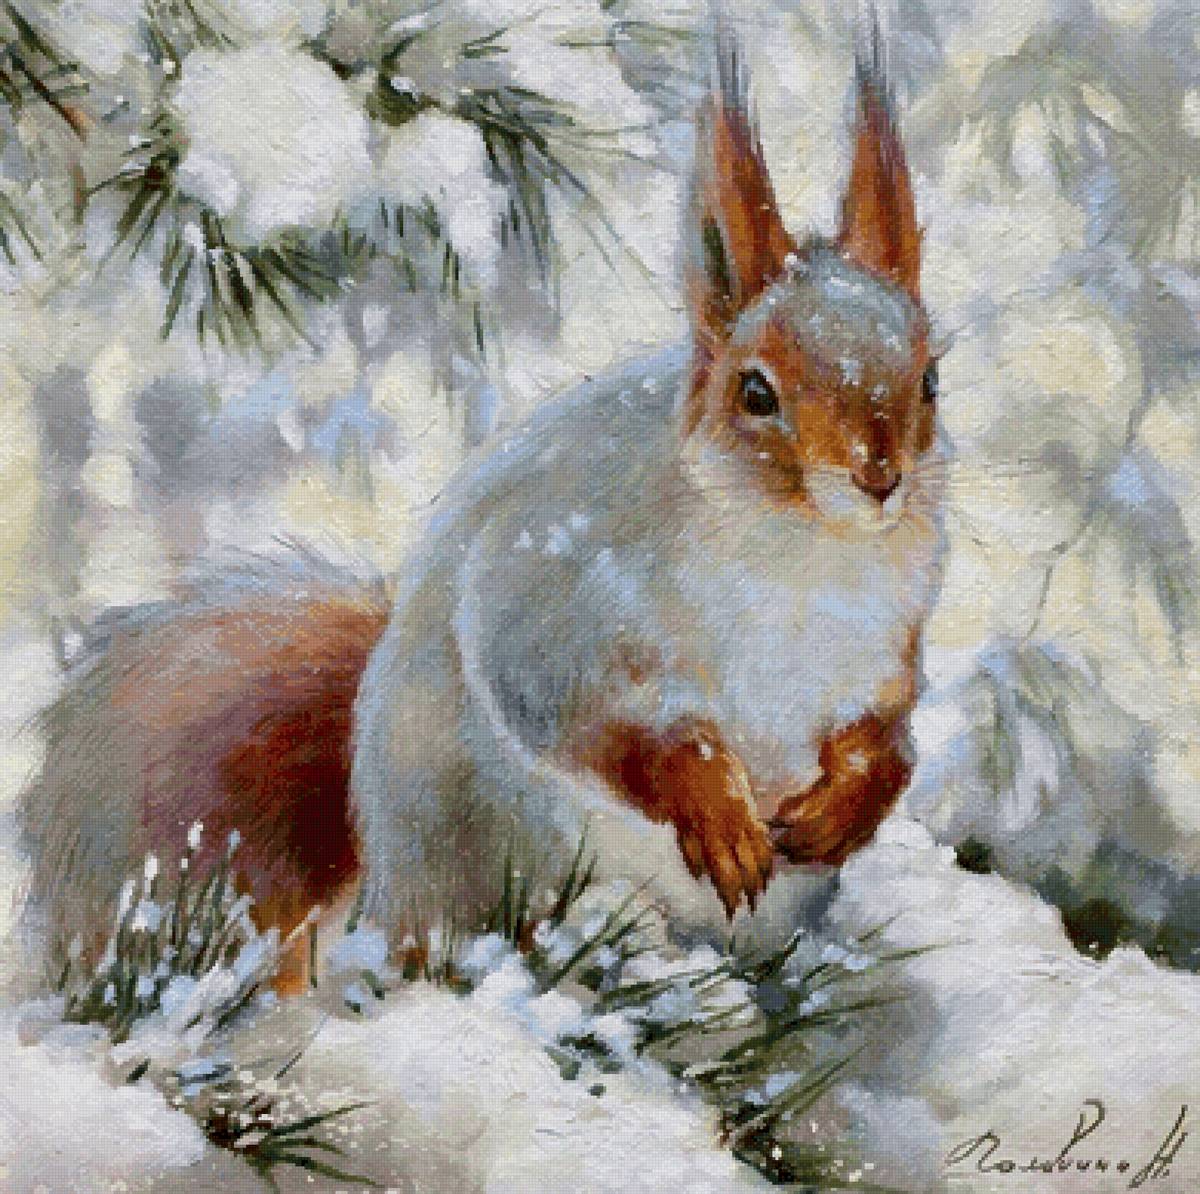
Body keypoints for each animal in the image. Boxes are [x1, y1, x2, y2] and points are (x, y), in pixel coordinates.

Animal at [18, 33, 945, 986]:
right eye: (755, 393)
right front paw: (714, 802)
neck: (807, 557)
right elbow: (569, 704)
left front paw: (853, 797)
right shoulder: (556, 585)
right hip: (487, 839)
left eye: (929, 382)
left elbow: (890, 730)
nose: (879, 478)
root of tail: (380, 893)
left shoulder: (893, 640)